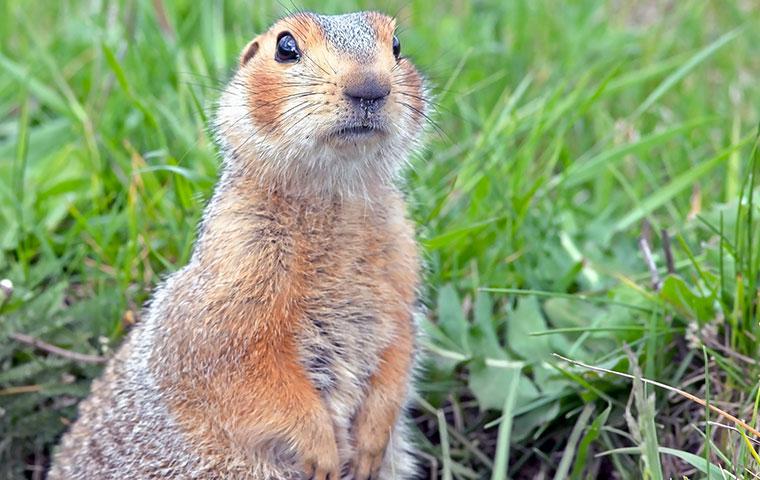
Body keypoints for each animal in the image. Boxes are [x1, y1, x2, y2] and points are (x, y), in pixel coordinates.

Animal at [49, 8, 428, 480]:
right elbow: (242, 369)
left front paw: (372, 442)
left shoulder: (402, 259)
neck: (333, 196)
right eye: (286, 46)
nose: (370, 86)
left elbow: (400, 345)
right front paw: (321, 450)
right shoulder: (236, 265)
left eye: (397, 46)